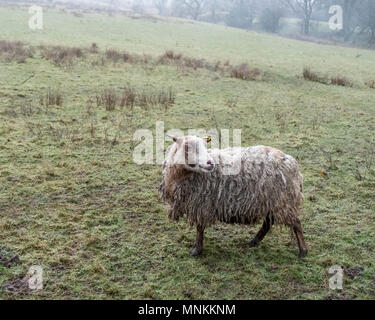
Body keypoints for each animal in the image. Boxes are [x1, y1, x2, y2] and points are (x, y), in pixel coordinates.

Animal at [159, 134, 308, 258]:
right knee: (268, 224)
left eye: (205, 145)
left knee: (296, 223)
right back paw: (253, 242)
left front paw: (197, 250)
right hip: (271, 201)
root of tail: (292, 163)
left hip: (284, 201)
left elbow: (199, 228)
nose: (210, 163)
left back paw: (303, 251)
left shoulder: (202, 205)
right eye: (186, 147)